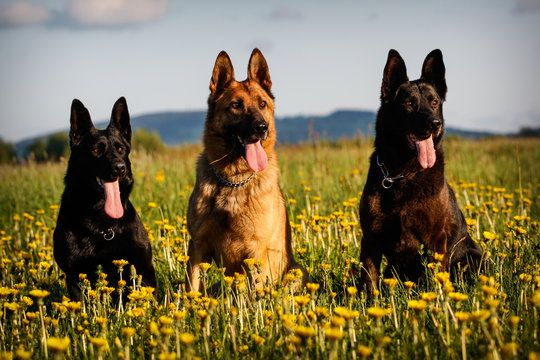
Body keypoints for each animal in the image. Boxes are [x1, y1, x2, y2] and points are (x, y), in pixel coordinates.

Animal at [53, 97, 156, 300]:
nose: (119, 167)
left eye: (121, 148)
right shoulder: (74, 277)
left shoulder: (144, 269)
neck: (103, 225)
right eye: (95, 150)